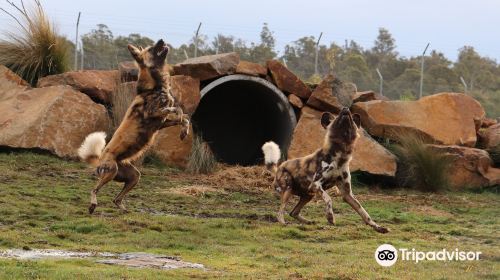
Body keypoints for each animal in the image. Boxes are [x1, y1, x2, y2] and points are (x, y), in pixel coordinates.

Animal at [78, 39, 189, 214]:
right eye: (151, 49)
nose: (162, 40)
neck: (155, 86)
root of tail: (100, 158)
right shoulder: (154, 113)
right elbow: (177, 109)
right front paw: (180, 121)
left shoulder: (161, 122)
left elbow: (184, 117)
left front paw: (184, 132)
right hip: (111, 171)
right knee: (94, 189)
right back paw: (93, 205)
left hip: (134, 176)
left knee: (116, 199)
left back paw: (123, 209)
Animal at [262, 108, 390, 233]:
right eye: (337, 117)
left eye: (350, 117)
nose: (345, 109)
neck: (340, 156)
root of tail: (279, 168)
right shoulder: (316, 184)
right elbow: (329, 199)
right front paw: (330, 217)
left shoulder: (347, 194)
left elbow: (364, 212)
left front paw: (378, 227)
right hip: (289, 189)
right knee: (280, 212)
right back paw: (284, 223)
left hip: (308, 195)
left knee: (293, 212)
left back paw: (308, 221)